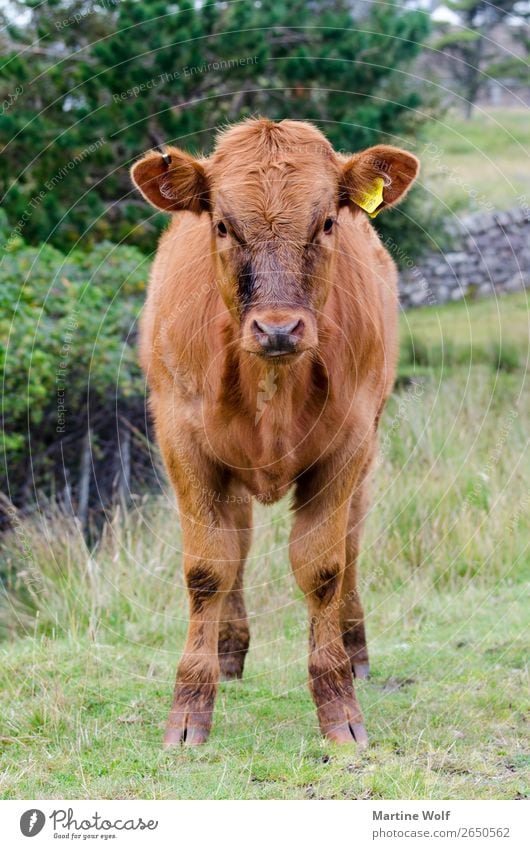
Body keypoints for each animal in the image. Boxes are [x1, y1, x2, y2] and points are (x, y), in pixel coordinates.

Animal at [129, 117, 416, 744]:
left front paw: (339, 707)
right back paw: (228, 651)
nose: (279, 328)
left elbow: (324, 568)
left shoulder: (348, 446)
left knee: (350, 543)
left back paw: (354, 650)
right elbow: (207, 569)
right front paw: (190, 710)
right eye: (222, 224)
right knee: (234, 544)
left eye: (327, 221)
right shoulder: (183, 442)